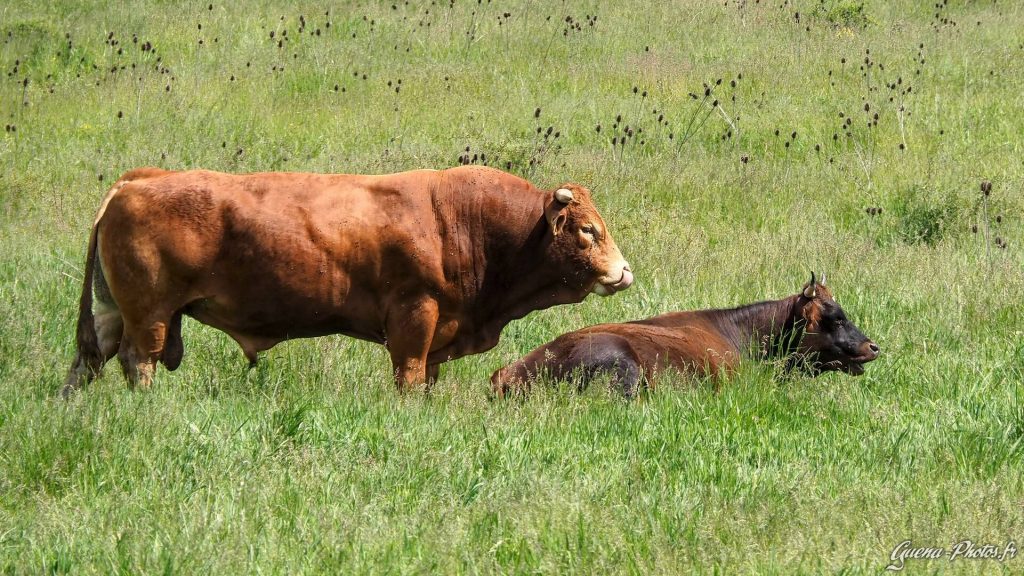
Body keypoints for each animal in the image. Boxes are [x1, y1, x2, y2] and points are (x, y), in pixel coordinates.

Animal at [64, 163, 630, 391]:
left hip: (113, 313)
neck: (464, 221)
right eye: (587, 230)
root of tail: (140, 180)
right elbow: (409, 376)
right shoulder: (414, 317)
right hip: (150, 316)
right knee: (138, 362)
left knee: (87, 362)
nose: (624, 272)